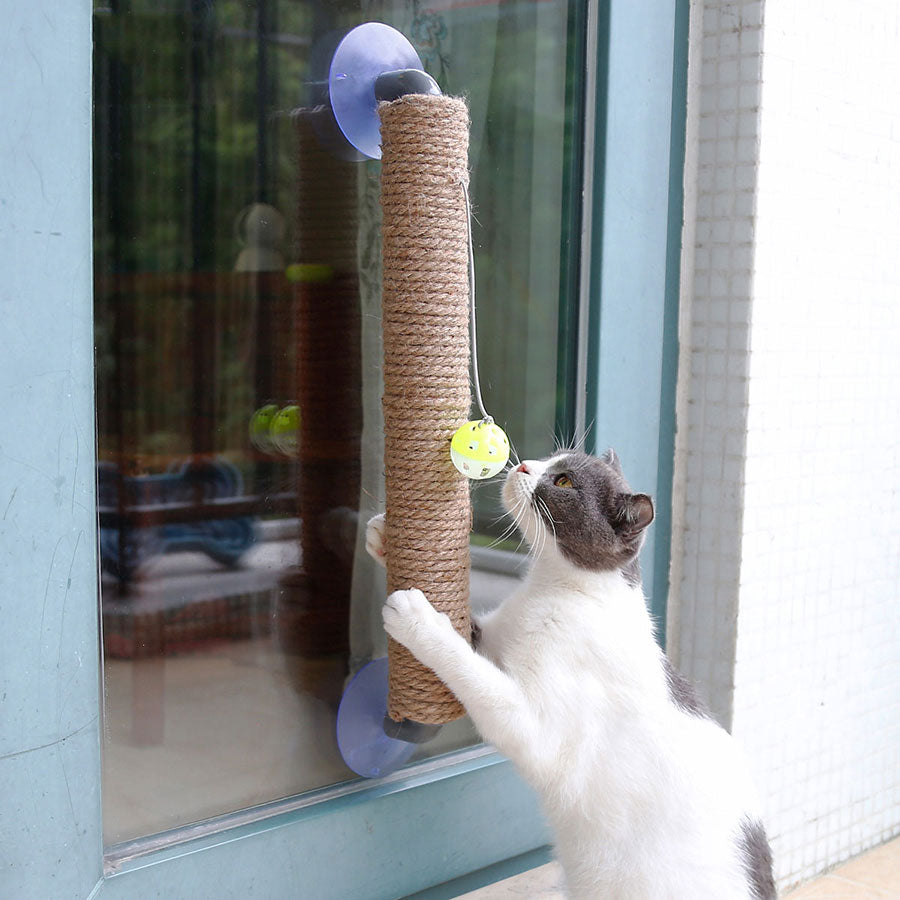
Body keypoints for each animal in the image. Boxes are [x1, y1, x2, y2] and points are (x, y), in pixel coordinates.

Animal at [366, 450, 772, 900]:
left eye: (563, 483)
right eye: (549, 459)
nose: (525, 465)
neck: (555, 590)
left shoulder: (539, 730)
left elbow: (476, 676)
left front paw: (419, 620)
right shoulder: (498, 641)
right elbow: (475, 641)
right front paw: (385, 537)